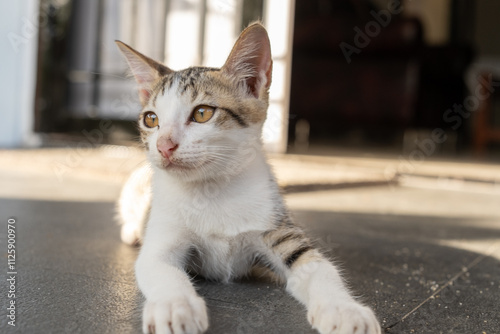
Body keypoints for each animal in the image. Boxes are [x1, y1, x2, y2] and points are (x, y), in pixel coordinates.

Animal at [114, 21, 378, 334]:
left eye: (202, 113)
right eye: (151, 119)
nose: (164, 146)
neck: (212, 189)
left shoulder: (277, 227)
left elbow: (319, 267)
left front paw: (345, 309)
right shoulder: (162, 239)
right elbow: (159, 267)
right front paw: (174, 305)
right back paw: (132, 231)